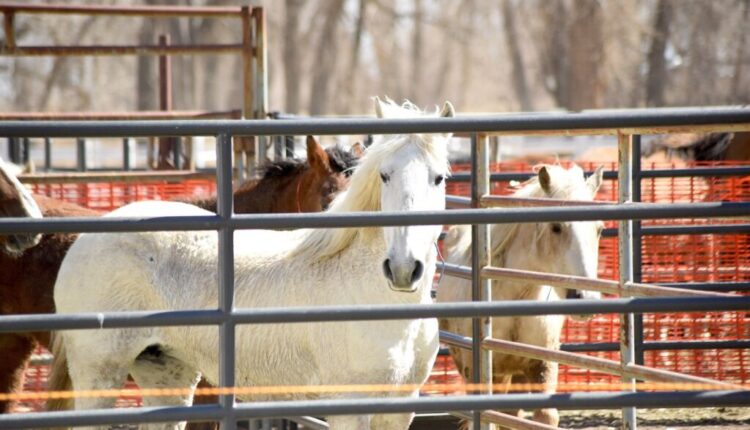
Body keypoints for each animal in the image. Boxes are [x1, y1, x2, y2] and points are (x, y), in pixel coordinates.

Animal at [48, 98, 455, 430]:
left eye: (439, 178)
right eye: (384, 175)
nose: (402, 269)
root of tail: (84, 239)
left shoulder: (400, 407)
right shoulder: (349, 407)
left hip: (166, 371)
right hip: (99, 374)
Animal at [436, 164, 604, 427]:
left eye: (599, 229)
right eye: (556, 226)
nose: (585, 298)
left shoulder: (542, 363)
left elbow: (545, 416)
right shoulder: (482, 369)